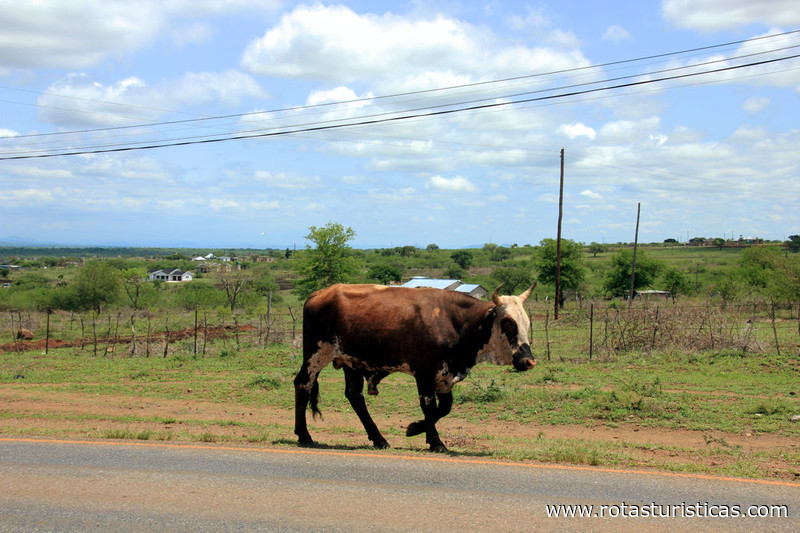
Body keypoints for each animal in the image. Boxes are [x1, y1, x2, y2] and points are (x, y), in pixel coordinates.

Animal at [293, 283, 536, 452]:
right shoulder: (424, 373)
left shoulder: (445, 376)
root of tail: (319, 294)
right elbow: (429, 406)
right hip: (317, 354)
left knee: (354, 396)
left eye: (526, 323)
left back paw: (379, 439)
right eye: (508, 323)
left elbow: (444, 408)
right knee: (303, 384)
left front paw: (417, 430)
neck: (455, 321)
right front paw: (435, 441)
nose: (529, 361)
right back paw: (304, 435)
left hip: (350, 361)